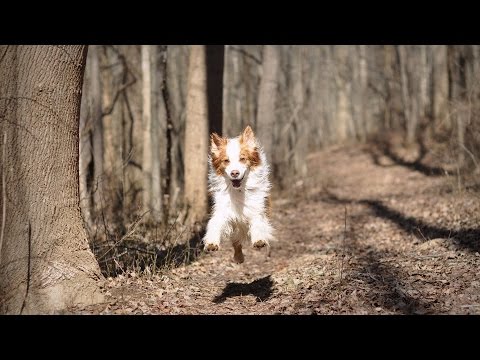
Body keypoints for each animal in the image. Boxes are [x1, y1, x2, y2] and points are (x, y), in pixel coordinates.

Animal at [202, 125, 274, 262]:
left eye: (242, 158)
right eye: (226, 161)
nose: (234, 173)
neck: (239, 190)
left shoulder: (256, 207)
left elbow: (258, 222)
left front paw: (259, 240)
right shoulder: (223, 209)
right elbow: (215, 223)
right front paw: (212, 243)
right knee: (236, 241)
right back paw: (239, 257)